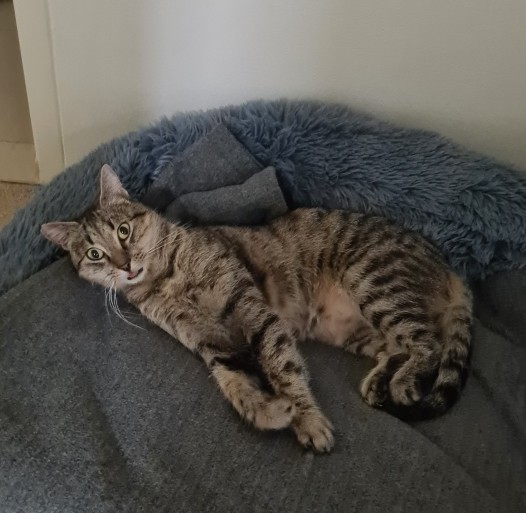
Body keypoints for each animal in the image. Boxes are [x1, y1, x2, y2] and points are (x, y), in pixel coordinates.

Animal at [41, 165, 472, 452]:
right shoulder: (209, 342)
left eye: (123, 231)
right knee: (398, 348)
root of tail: (449, 266)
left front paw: (306, 418)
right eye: (94, 254)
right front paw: (271, 413)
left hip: (374, 283)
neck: (166, 281)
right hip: (358, 330)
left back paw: (402, 383)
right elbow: (232, 383)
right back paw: (379, 382)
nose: (125, 264)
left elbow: (281, 366)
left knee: (429, 343)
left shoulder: (251, 308)